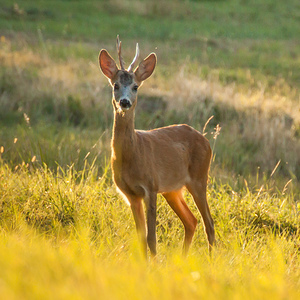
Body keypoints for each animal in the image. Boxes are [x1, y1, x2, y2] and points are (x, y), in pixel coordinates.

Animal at [99, 37, 214, 258]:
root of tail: (206, 141)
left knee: (209, 223)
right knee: (191, 221)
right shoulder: (130, 194)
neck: (132, 156)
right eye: (116, 85)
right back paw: (182, 259)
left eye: (135, 86)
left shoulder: (150, 187)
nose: (124, 102)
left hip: (199, 177)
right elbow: (141, 238)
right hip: (173, 190)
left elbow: (151, 239)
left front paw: (154, 263)